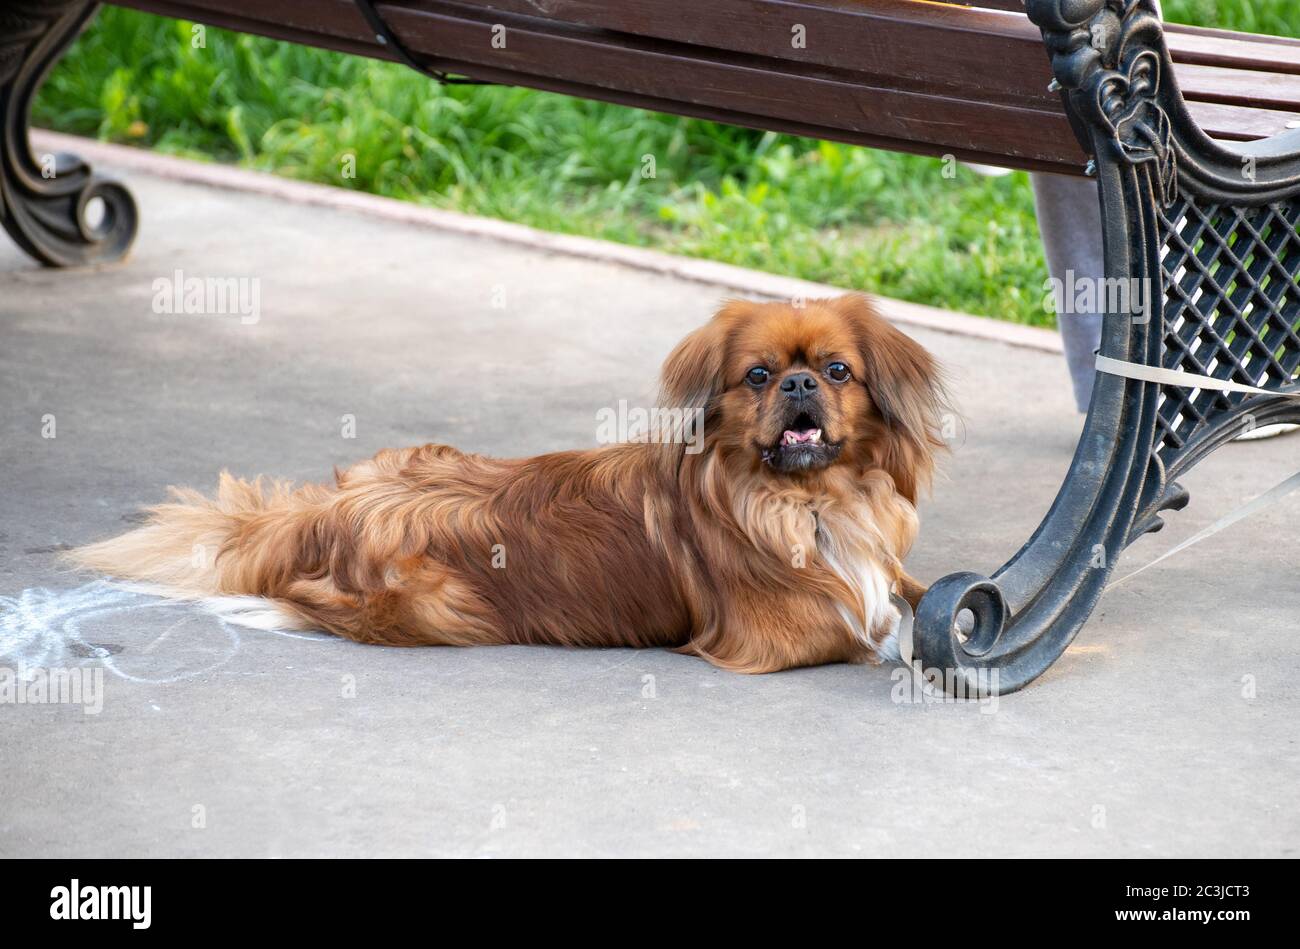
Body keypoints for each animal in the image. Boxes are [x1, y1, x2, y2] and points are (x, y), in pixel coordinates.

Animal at [71, 292, 946, 670]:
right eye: (759, 375)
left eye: (837, 370)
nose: (798, 384)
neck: (812, 499)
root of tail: (326, 510)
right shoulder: (772, 636)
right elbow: (862, 623)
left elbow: (905, 587)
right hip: (444, 608)